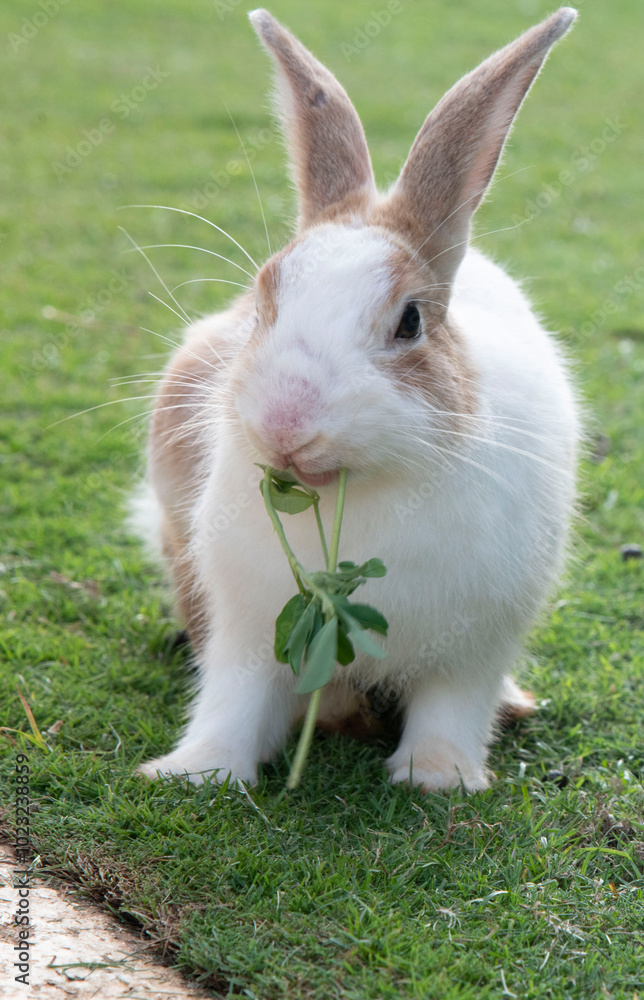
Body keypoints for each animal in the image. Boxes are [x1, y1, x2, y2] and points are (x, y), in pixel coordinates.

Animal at [136, 5, 580, 788]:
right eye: (265, 297)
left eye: (410, 321)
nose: (286, 422)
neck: (356, 491)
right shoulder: (246, 627)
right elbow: (233, 700)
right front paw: (198, 772)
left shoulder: (475, 643)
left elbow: (452, 707)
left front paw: (438, 777)